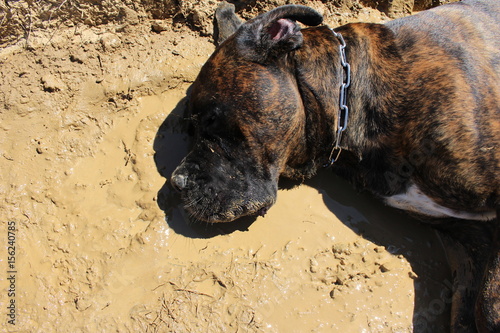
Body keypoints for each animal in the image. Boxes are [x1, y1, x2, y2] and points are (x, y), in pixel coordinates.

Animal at [170, 1, 498, 330]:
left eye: (212, 118)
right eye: (190, 129)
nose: (177, 182)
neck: (352, 96)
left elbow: (487, 304)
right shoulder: (468, 240)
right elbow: (468, 310)